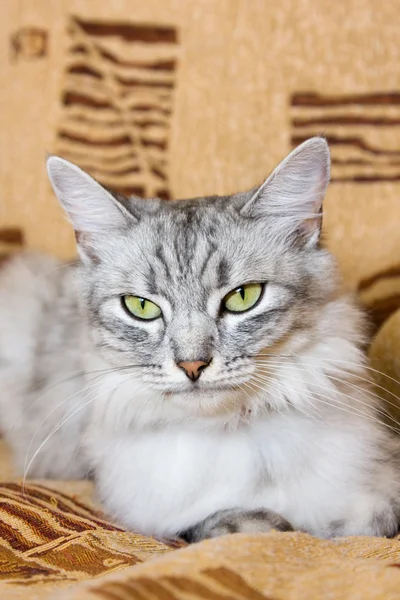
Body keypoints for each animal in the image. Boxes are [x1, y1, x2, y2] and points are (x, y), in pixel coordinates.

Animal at [0, 138, 400, 540]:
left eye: (243, 297)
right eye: (141, 307)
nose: (192, 366)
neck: (227, 429)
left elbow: (372, 518)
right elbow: (219, 523)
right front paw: (267, 525)